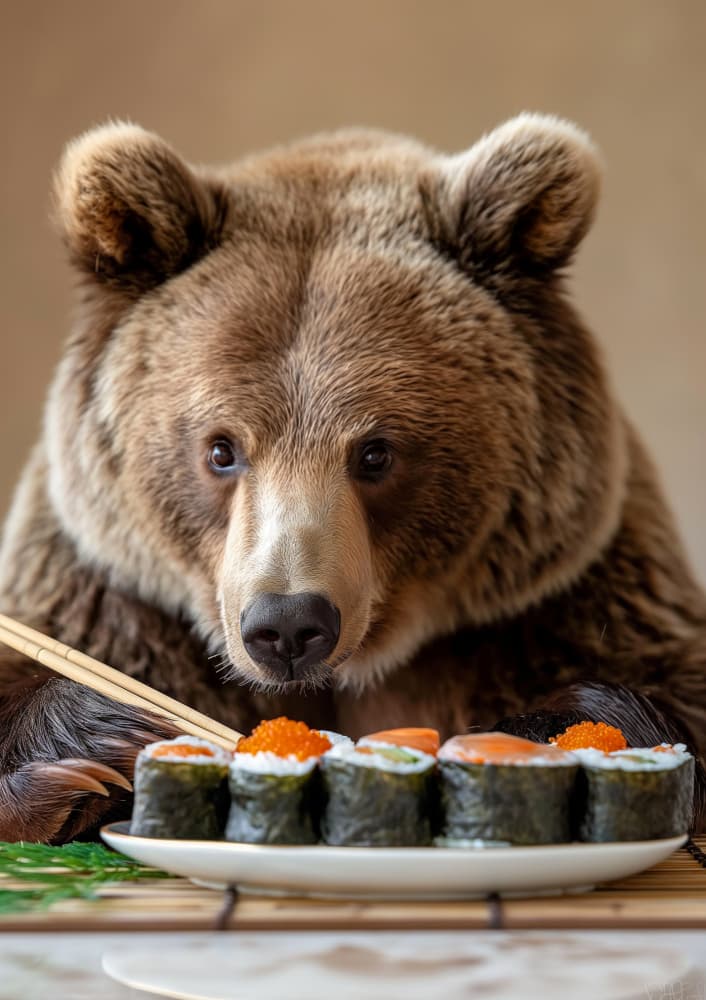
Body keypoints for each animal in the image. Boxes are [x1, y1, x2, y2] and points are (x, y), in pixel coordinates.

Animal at [0, 113, 705, 843]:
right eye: (221, 449)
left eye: (375, 453)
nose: (287, 624)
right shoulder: (110, 594)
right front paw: (103, 735)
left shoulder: (562, 598)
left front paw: (545, 735)